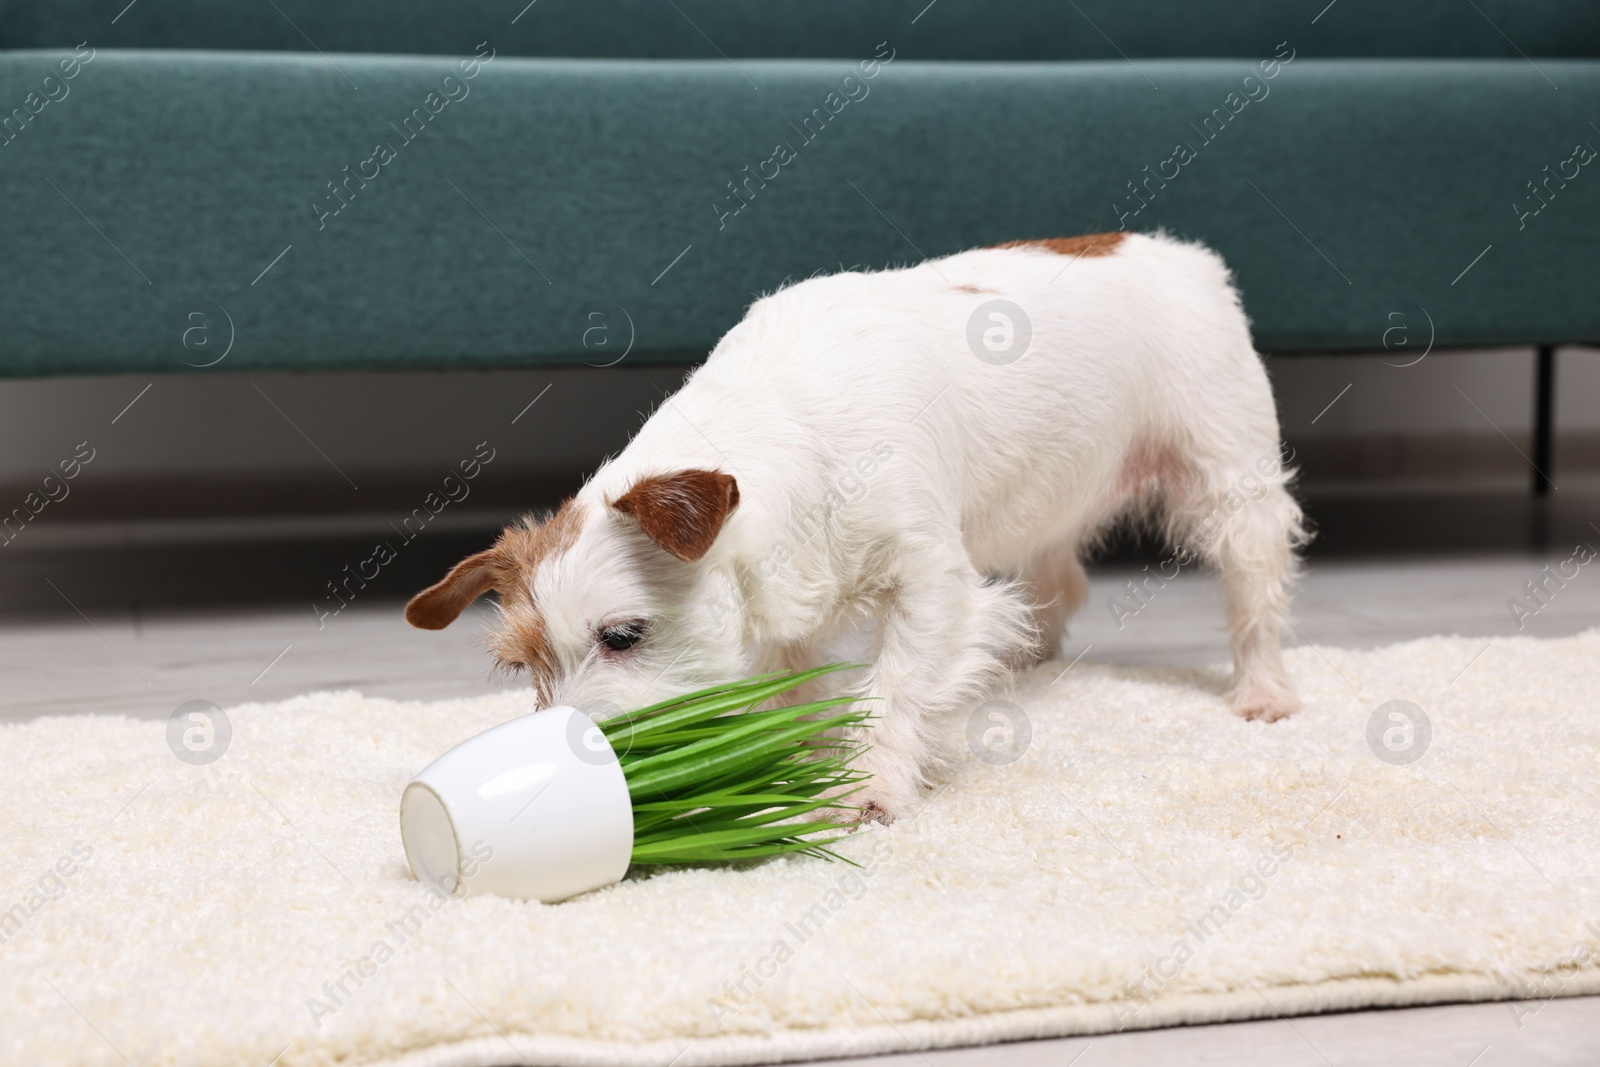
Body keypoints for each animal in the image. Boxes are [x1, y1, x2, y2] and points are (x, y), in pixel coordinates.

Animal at [406, 230, 1305, 825]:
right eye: (522, 664)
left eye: (623, 635)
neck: (788, 429)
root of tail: (1181, 253)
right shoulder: (781, 620)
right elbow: (797, 690)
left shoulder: (932, 582)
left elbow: (893, 685)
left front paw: (869, 784)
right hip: (1042, 493)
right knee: (1059, 576)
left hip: (1232, 483)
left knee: (1253, 588)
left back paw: (1263, 690)